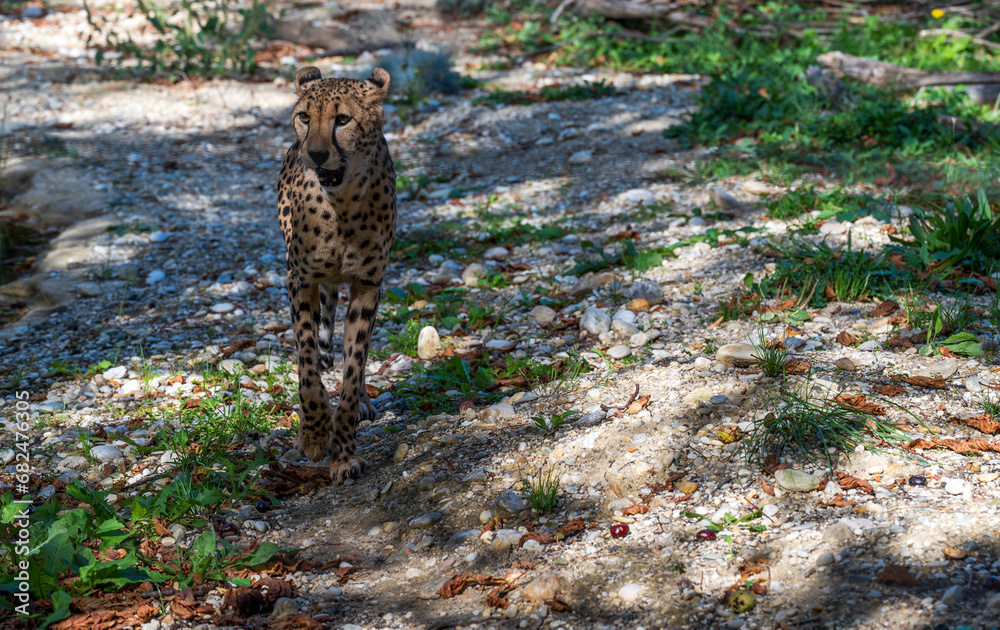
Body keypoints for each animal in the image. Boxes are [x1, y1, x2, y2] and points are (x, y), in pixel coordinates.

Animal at [278, 68, 398, 484]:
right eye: (304, 117)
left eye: (342, 119)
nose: (315, 154)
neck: (342, 206)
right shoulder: (300, 280)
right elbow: (307, 364)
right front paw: (314, 435)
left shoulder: (368, 285)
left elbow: (354, 364)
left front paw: (344, 452)